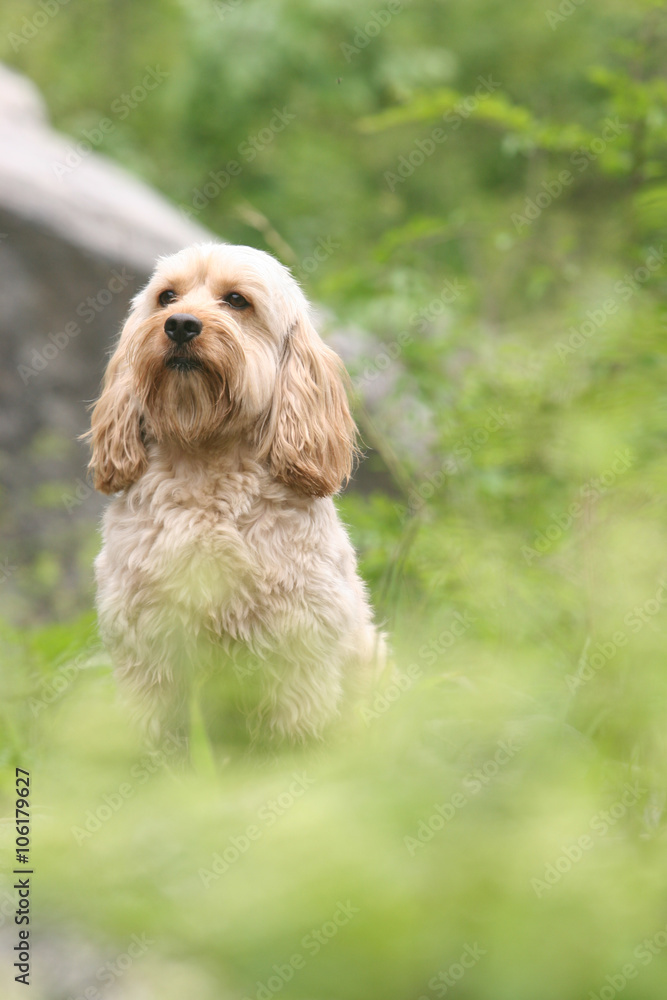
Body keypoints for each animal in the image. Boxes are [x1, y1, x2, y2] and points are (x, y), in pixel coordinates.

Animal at [86, 240, 386, 744]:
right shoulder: (145, 641)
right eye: (166, 297)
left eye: (236, 300)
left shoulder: (298, 643)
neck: (206, 461)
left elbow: (294, 732)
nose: (180, 324)